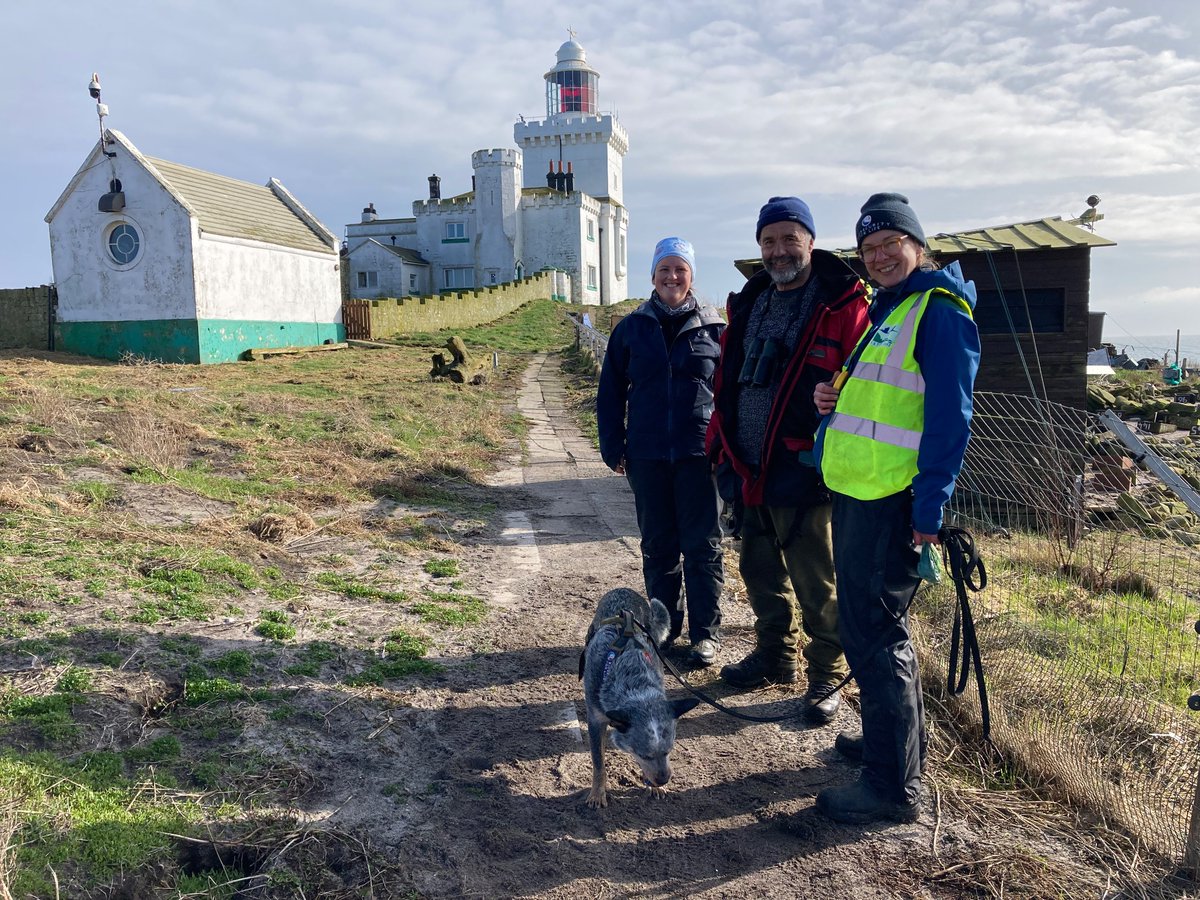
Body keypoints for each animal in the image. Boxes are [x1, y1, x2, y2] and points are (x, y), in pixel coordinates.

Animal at [576, 592, 700, 811]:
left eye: (668, 751)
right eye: (644, 755)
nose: (664, 779)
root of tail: (623, 589)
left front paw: (655, 787)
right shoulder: (596, 720)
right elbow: (599, 763)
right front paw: (597, 794)